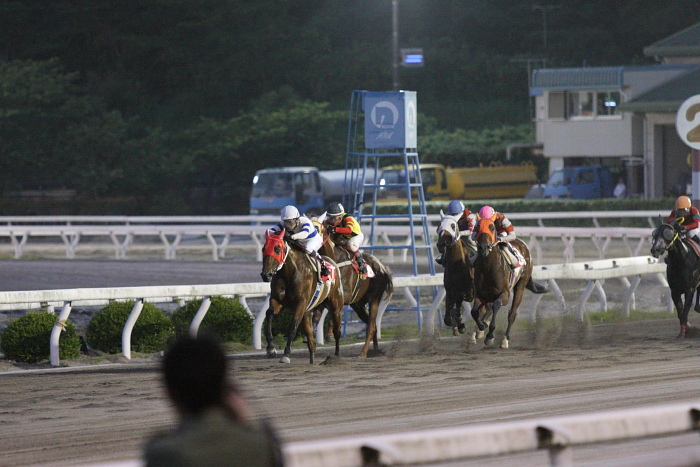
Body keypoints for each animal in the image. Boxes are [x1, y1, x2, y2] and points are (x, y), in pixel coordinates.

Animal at [260, 230, 344, 366]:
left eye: (277, 249)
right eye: (263, 249)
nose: (266, 275)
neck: (290, 272)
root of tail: (332, 263)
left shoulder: (301, 303)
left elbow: (292, 327)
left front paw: (286, 355)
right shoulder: (277, 301)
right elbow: (269, 314)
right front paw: (271, 349)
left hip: (336, 307)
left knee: (337, 332)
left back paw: (335, 357)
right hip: (307, 312)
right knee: (311, 339)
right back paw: (312, 359)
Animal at [314, 221, 394, 360]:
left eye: (317, 228)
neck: (335, 260)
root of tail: (383, 268)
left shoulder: (344, 295)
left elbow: (333, 313)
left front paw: (330, 334)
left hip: (374, 299)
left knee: (371, 326)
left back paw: (363, 353)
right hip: (358, 305)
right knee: (372, 325)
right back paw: (375, 350)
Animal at [470, 218, 548, 348]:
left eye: (492, 228)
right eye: (478, 227)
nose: (484, 248)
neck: (488, 268)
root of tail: (523, 244)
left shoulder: (504, 294)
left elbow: (496, 305)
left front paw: (490, 336)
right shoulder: (480, 295)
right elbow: (474, 311)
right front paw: (481, 327)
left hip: (520, 286)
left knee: (512, 314)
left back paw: (505, 340)